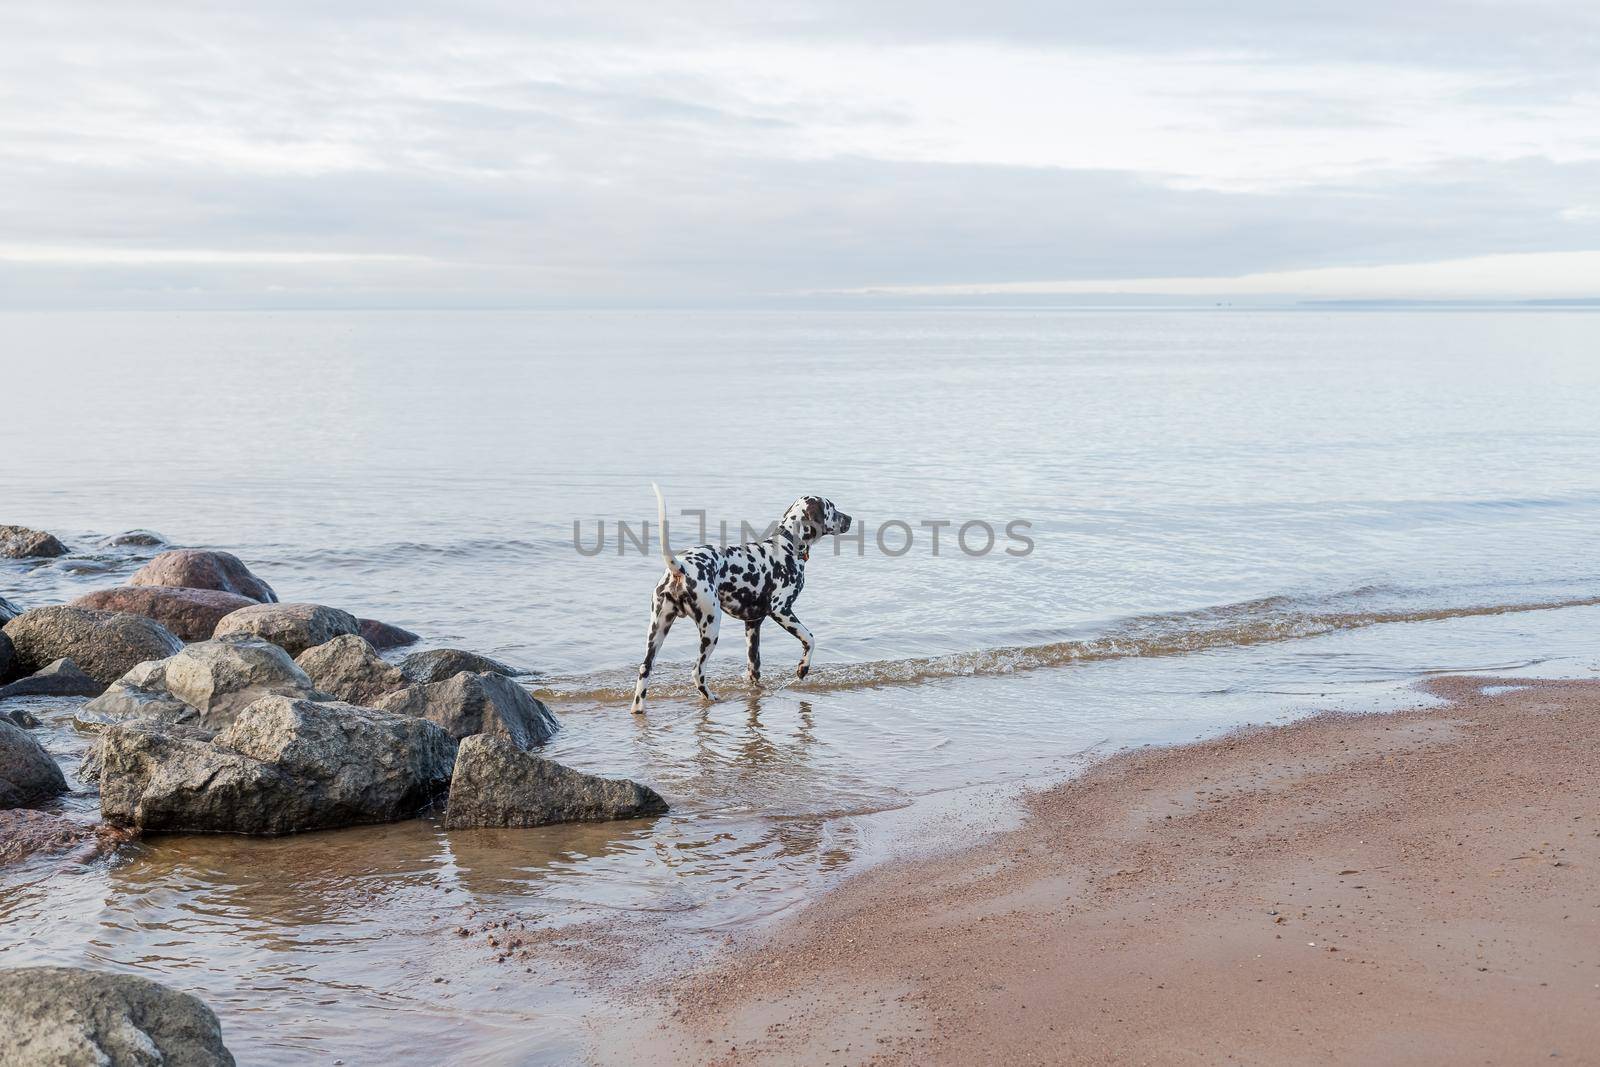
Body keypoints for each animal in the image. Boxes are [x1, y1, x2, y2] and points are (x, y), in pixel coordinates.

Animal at [624, 489, 851, 713]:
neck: (787, 545)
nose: (849, 518)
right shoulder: (782, 610)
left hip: (658, 631)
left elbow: (754, 668)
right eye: (831, 507)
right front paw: (803, 668)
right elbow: (810, 639)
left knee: (645, 668)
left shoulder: (752, 625)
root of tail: (681, 566)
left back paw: (638, 708)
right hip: (710, 629)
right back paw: (711, 697)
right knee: (697, 672)